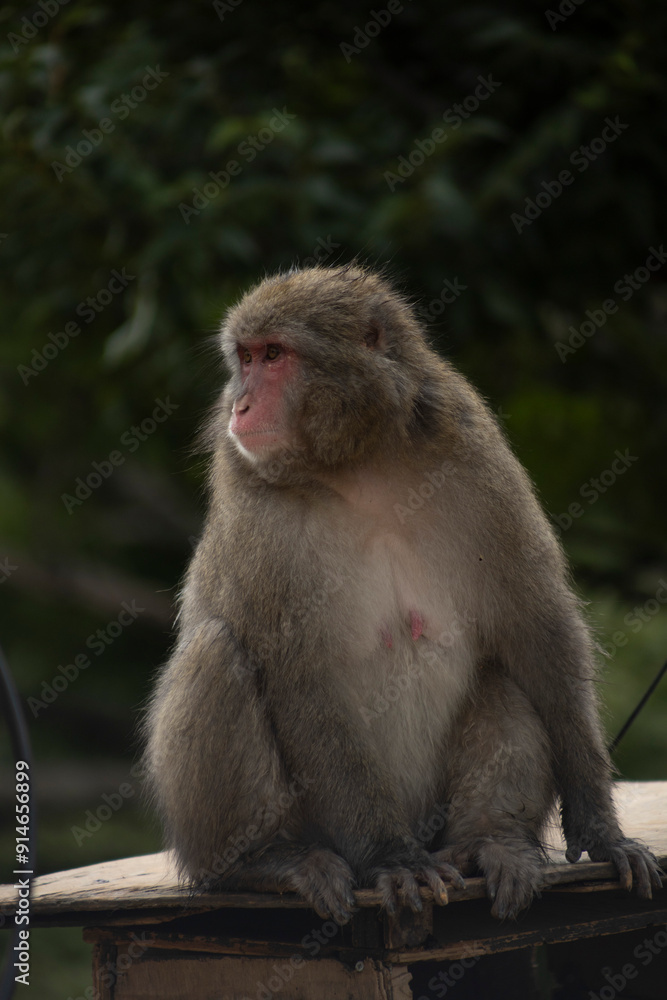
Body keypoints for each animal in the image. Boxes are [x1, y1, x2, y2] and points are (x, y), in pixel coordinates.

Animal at [143, 263, 662, 923]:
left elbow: (538, 630)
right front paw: (390, 859)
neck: (361, 466)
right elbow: (301, 677)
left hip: (436, 819)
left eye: (274, 355)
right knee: (216, 651)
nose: (240, 403)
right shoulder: (260, 515)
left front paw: (601, 831)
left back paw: (492, 839)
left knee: (500, 673)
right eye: (246, 357)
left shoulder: (474, 456)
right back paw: (266, 861)